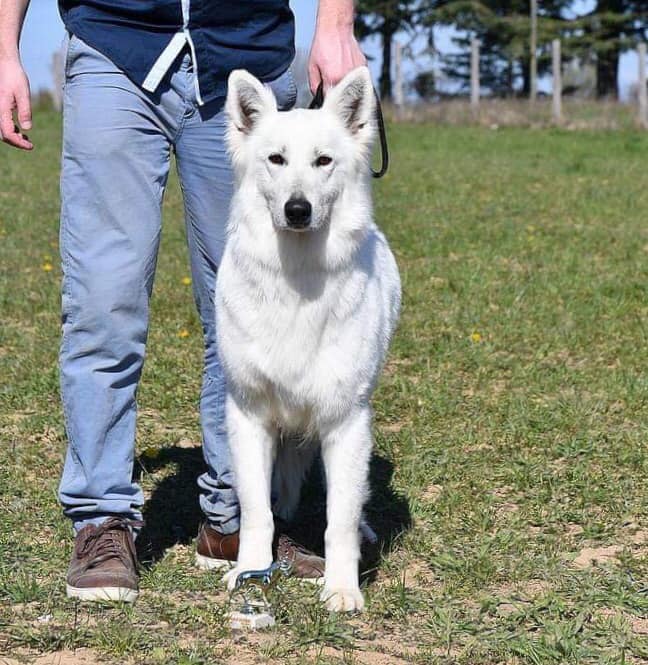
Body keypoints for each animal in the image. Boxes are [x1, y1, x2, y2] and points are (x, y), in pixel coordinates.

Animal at [216, 65, 400, 608]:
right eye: (276, 159)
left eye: (324, 161)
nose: (298, 209)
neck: (296, 278)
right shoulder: (249, 415)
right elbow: (257, 510)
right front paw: (250, 571)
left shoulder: (347, 422)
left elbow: (339, 519)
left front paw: (341, 589)